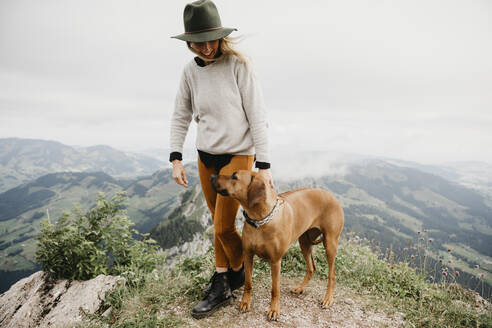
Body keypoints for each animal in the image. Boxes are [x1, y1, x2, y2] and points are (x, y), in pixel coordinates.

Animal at [209, 169, 344, 320]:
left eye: (234, 176)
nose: (212, 176)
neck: (260, 220)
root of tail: (332, 196)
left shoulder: (275, 261)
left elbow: (275, 289)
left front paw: (273, 310)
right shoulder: (248, 255)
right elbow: (248, 283)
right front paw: (245, 302)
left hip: (330, 243)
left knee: (332, 274)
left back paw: (328, 299)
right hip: (304, 242)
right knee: (311, 268)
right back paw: (300, 288)